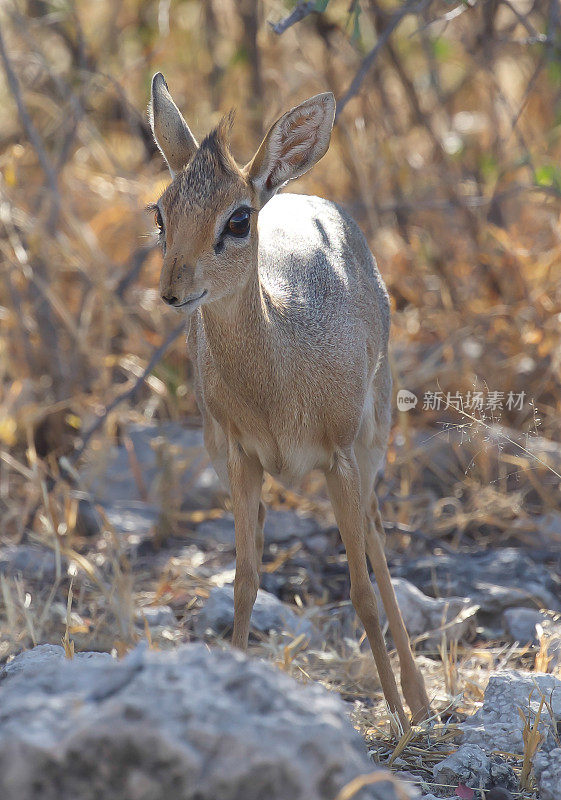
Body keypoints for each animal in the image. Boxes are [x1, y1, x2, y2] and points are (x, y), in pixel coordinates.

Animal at [148, 75, 428, 732]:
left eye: (238, 219)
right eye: (160, 212)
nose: (174, 290)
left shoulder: (341, 457)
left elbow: (360, 591)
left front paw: (400, 727)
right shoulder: (239, 456)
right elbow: (245, 581)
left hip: (373, 439)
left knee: (377, 536)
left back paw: (420, 701)